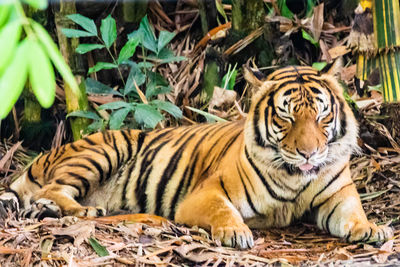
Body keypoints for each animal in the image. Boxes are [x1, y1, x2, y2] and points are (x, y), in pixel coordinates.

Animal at [0, 66, 392, 250]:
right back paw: (84, 211)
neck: (296, 177)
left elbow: (354, 213)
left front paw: (373, 229)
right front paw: (236, 233)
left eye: (322, 116)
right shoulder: (206, 193)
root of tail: (46, 154)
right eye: (286, 117)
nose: (309, 153)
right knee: (51, 190)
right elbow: (224, 211)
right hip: (106, 149)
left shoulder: (338, 195)